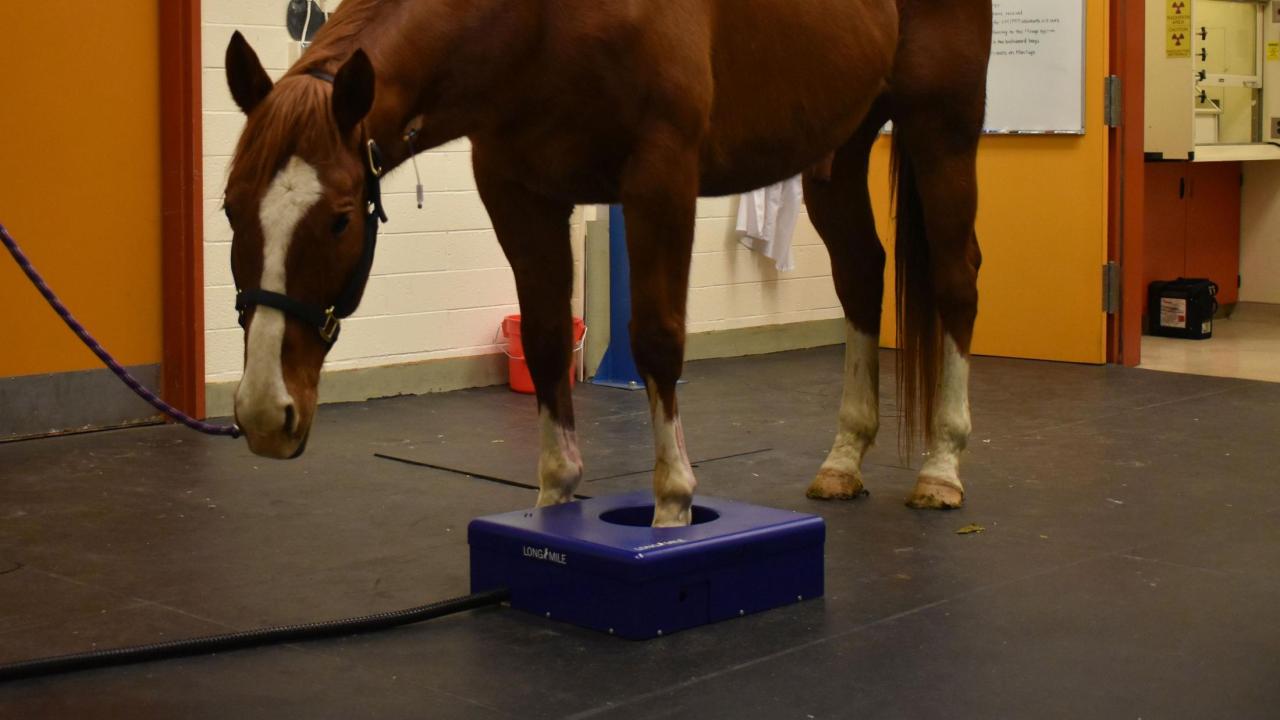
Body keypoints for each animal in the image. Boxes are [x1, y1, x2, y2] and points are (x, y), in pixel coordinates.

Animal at [225, 1, 993, 527]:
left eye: (340, 217)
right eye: (230, 208)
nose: (264, 413)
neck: (539, 23)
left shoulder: (660, 176)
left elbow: (656, 337)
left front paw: (673, 507)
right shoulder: (516, 190)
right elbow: (543, 340)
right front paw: (555, 494)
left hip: (941, 129)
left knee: (957, 280)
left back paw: (943, 466)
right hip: (839, 147)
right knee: (861, 274)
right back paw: (844, 458)